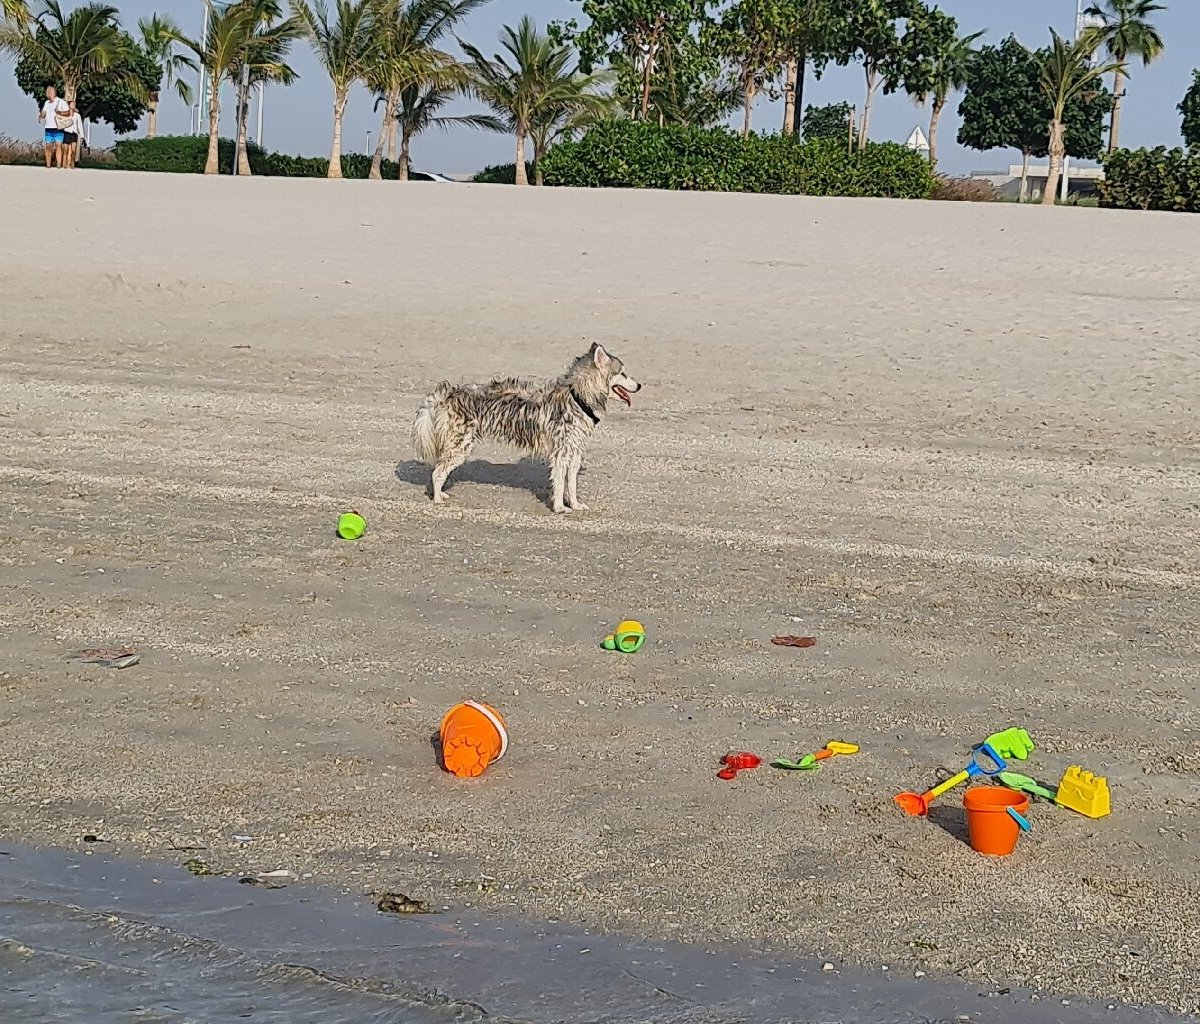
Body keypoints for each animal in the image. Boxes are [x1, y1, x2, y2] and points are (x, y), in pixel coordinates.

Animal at [410, 340, 643, 516]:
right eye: (623, 373)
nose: (640, 385)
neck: (577, 398)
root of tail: (447, 395)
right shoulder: (561, 454)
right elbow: (560, 483)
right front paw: (560, 508)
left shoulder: (574, 452)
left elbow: (571, 484)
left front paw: (575, 504)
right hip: (460, 446)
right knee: (437, 472)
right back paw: (438, 498)